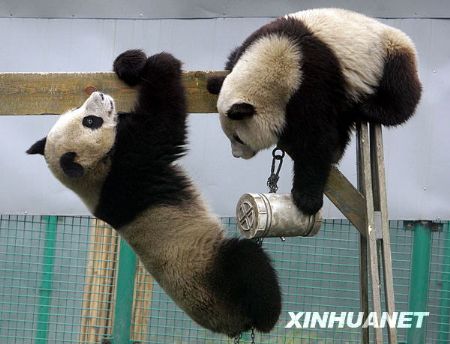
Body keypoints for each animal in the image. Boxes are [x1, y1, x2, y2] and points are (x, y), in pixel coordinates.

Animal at [26, 49, 280, 338]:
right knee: (249, 263)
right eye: (90, 121)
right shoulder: (130, 166)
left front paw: (128, 63)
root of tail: (231, 325)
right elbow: (163, 121)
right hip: (218, 275)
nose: (99, 95)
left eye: (78, 112)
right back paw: (267, 315)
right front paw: (159, 62)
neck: (93, 174)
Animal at [207, 8, 422, 215]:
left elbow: (315, 140)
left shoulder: (313, 83)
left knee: (400, 92)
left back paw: (369, 108)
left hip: (388, 53)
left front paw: (307, 200)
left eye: (238, 138)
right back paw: (337, 149)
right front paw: (214, 82)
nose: (236, 155)